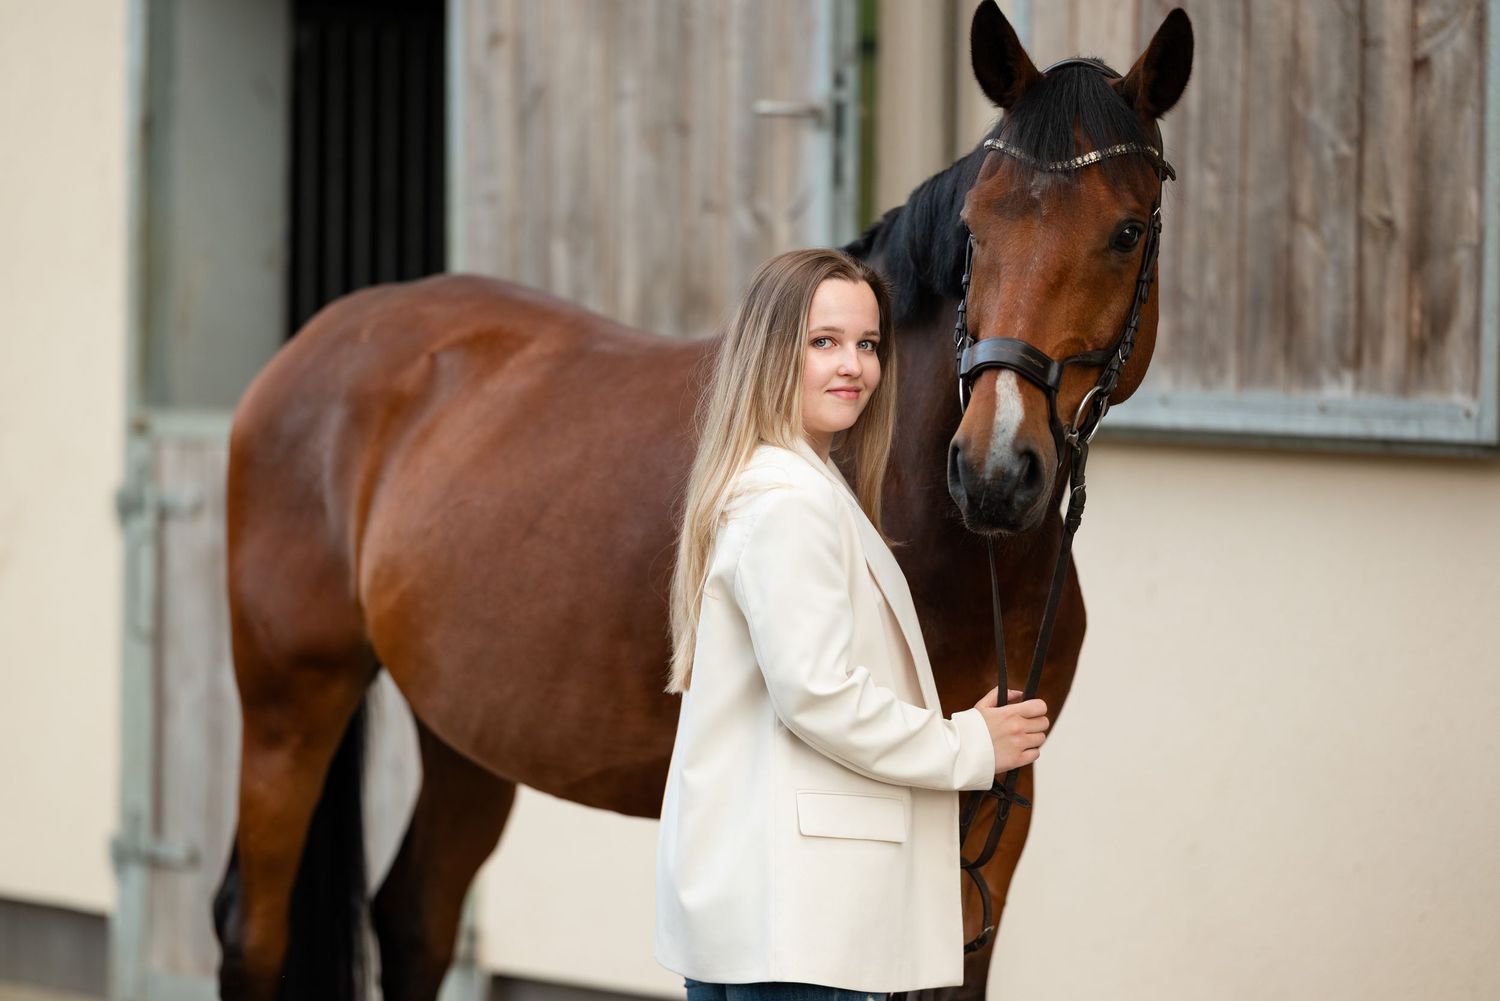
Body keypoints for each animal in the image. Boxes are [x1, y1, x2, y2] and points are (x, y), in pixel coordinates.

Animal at [212, 4, 1192, 999]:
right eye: (974, 229)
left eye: (1127, 232)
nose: (993, 471)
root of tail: (321, 341)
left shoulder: (998, 814)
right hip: (293, 700)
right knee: (256, 929)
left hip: (462, 731)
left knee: (414, 918)